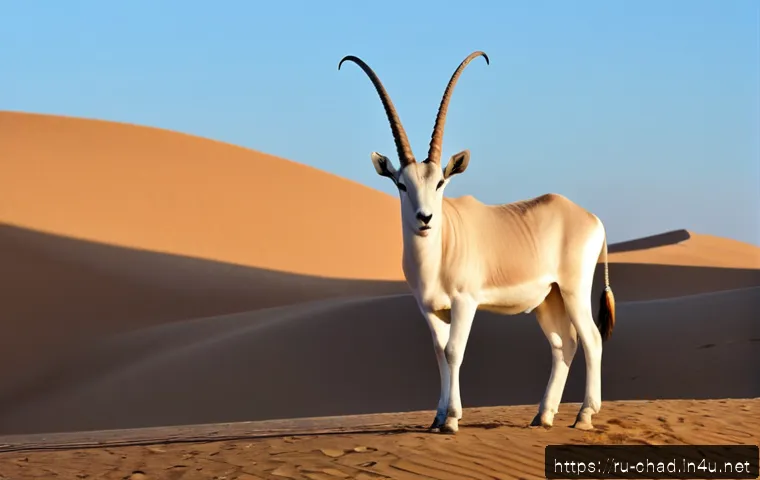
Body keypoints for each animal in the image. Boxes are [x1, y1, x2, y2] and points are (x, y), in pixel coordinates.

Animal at [338, 51, 616, 434]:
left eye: (440, 183)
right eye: (402, 184)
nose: (425, 218)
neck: (438, 251)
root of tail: (591, 218)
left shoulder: (464, 302)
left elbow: (455, 351)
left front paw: (452, 420)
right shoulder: (429, 309)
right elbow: (439, 353)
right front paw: (438, 418)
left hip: (573, 291)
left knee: (591, 339)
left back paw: (585, 415)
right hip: (549, 300)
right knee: (565, 345)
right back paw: (543, 416)